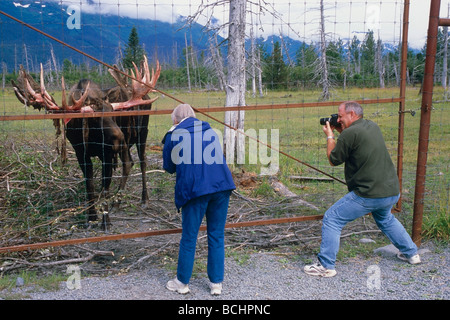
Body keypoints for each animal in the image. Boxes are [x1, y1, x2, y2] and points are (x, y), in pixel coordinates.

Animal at [11, 57, 162, 228]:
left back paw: (144, 199)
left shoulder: (107, 153)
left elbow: (105, 188)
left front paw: (106, 221)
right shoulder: (80, 152)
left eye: (113, 112)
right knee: (129, 163)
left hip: (142, 132)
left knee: (142, 161)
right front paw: (92, 217)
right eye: (93, 118)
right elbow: (89, 184)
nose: (120, 138)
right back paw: (117, 201)